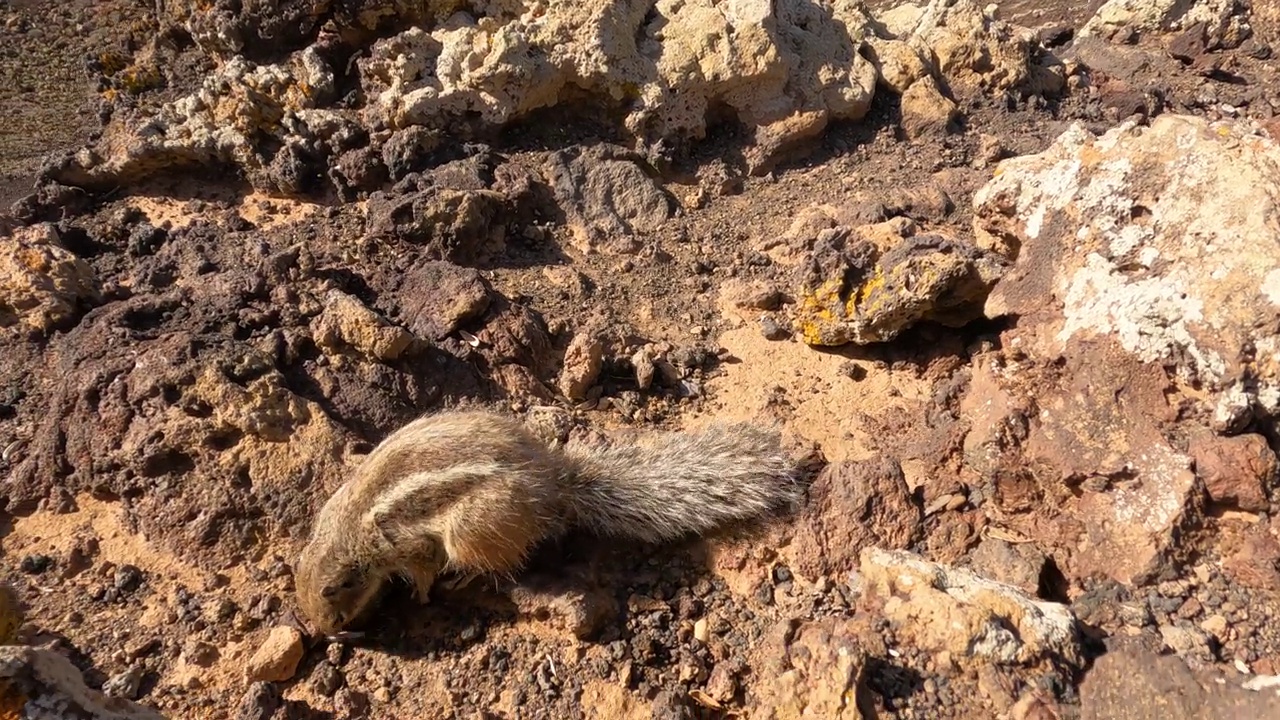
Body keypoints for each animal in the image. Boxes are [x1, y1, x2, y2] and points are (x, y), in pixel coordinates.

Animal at [294, 409, 803, 632]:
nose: (325, 631)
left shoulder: (405, 545)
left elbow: (421, 570)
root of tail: (555, 484)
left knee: (499, 564)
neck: (346, 531)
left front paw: (420, 597)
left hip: (470, 530)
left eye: (333, 593)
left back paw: (464, 579)